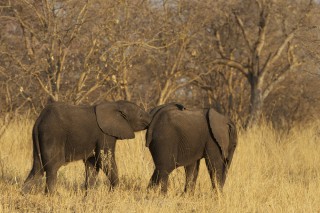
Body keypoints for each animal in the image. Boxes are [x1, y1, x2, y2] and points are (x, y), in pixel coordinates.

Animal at [22, 100, 151, 193]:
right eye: (140, 115)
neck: (116, 104)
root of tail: (38, 121)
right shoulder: (105, 134)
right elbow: (104, 159)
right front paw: (113, 191)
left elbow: (92, 164)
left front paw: (88, 195)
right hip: (52, 135)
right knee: (52, 168)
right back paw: (52, 196)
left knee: (37, 169)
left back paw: (24, 194)